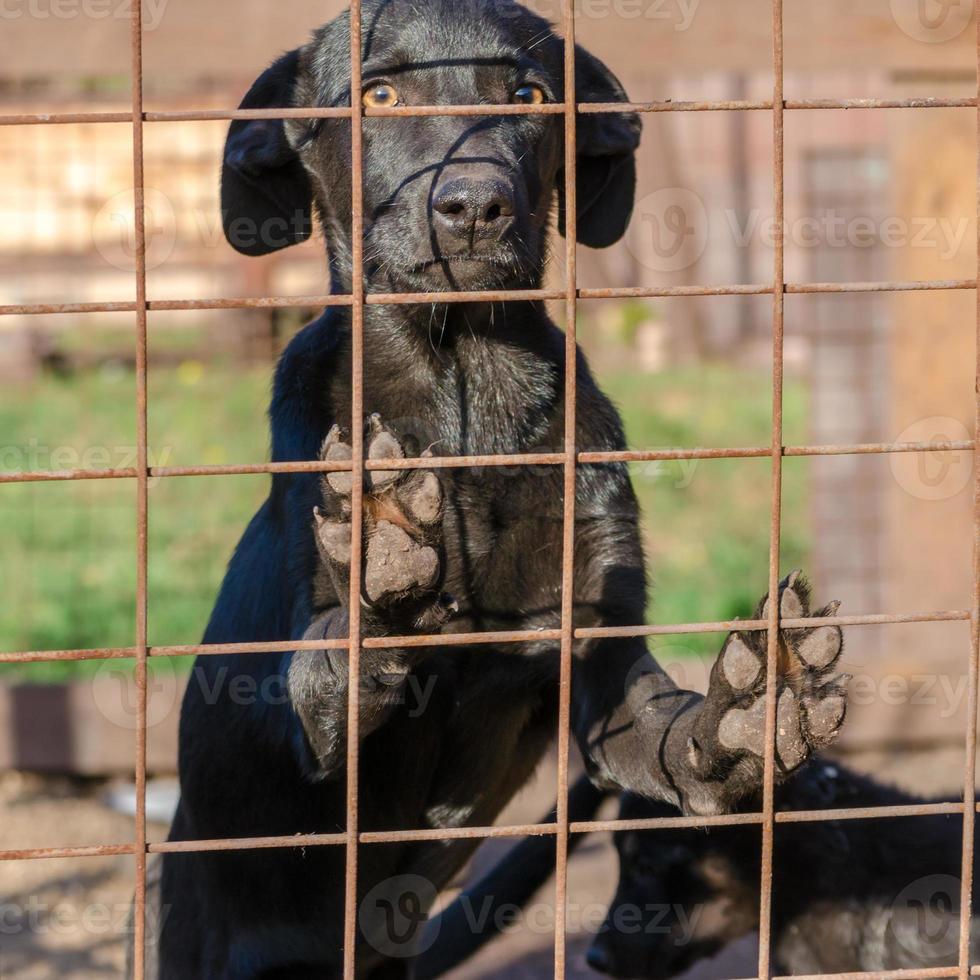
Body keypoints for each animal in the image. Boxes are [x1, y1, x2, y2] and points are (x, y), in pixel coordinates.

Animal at [153, 3, 848, 976]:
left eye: (529, 95)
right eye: (378, 94)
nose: (474, 205)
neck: (464, 386)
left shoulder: (601, 668)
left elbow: (677, 738)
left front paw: (754, 712)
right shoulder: (312, 746)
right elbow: (326, 664)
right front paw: (381, 551)